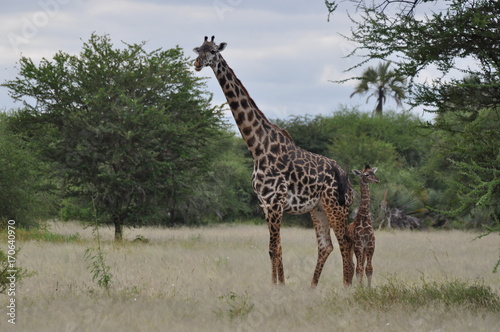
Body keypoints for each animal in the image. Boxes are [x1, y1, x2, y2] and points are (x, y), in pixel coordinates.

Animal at [193, 35, 354, 286]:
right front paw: (281, 285)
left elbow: (272, 248)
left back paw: (348, 287)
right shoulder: (265, 204)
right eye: (198, 49)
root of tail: (347, 178)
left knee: (346, 243)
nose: (197, 63)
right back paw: (312, 287)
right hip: (318, 209)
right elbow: (277, 248)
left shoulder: (275, 201)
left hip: (336, 206)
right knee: (326, 246)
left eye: (212, 51)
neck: (257, 148)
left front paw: (276, 287)